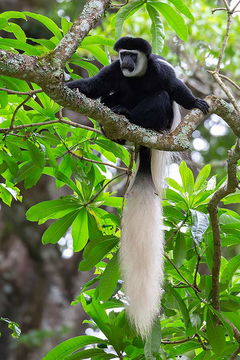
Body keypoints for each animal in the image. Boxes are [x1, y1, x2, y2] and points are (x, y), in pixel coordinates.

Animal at [66, 36, 209, 338]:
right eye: (122, 54)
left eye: (133, 54)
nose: (126, 62)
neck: (139, 75)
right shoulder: (113, 70)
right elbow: (93, 86)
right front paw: (68, 85)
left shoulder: (160, 71)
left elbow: (175, 90)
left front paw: (196, 101)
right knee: (109, 96)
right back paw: (114, 123)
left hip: (161, 120)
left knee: (161, 98)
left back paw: (127, 116)